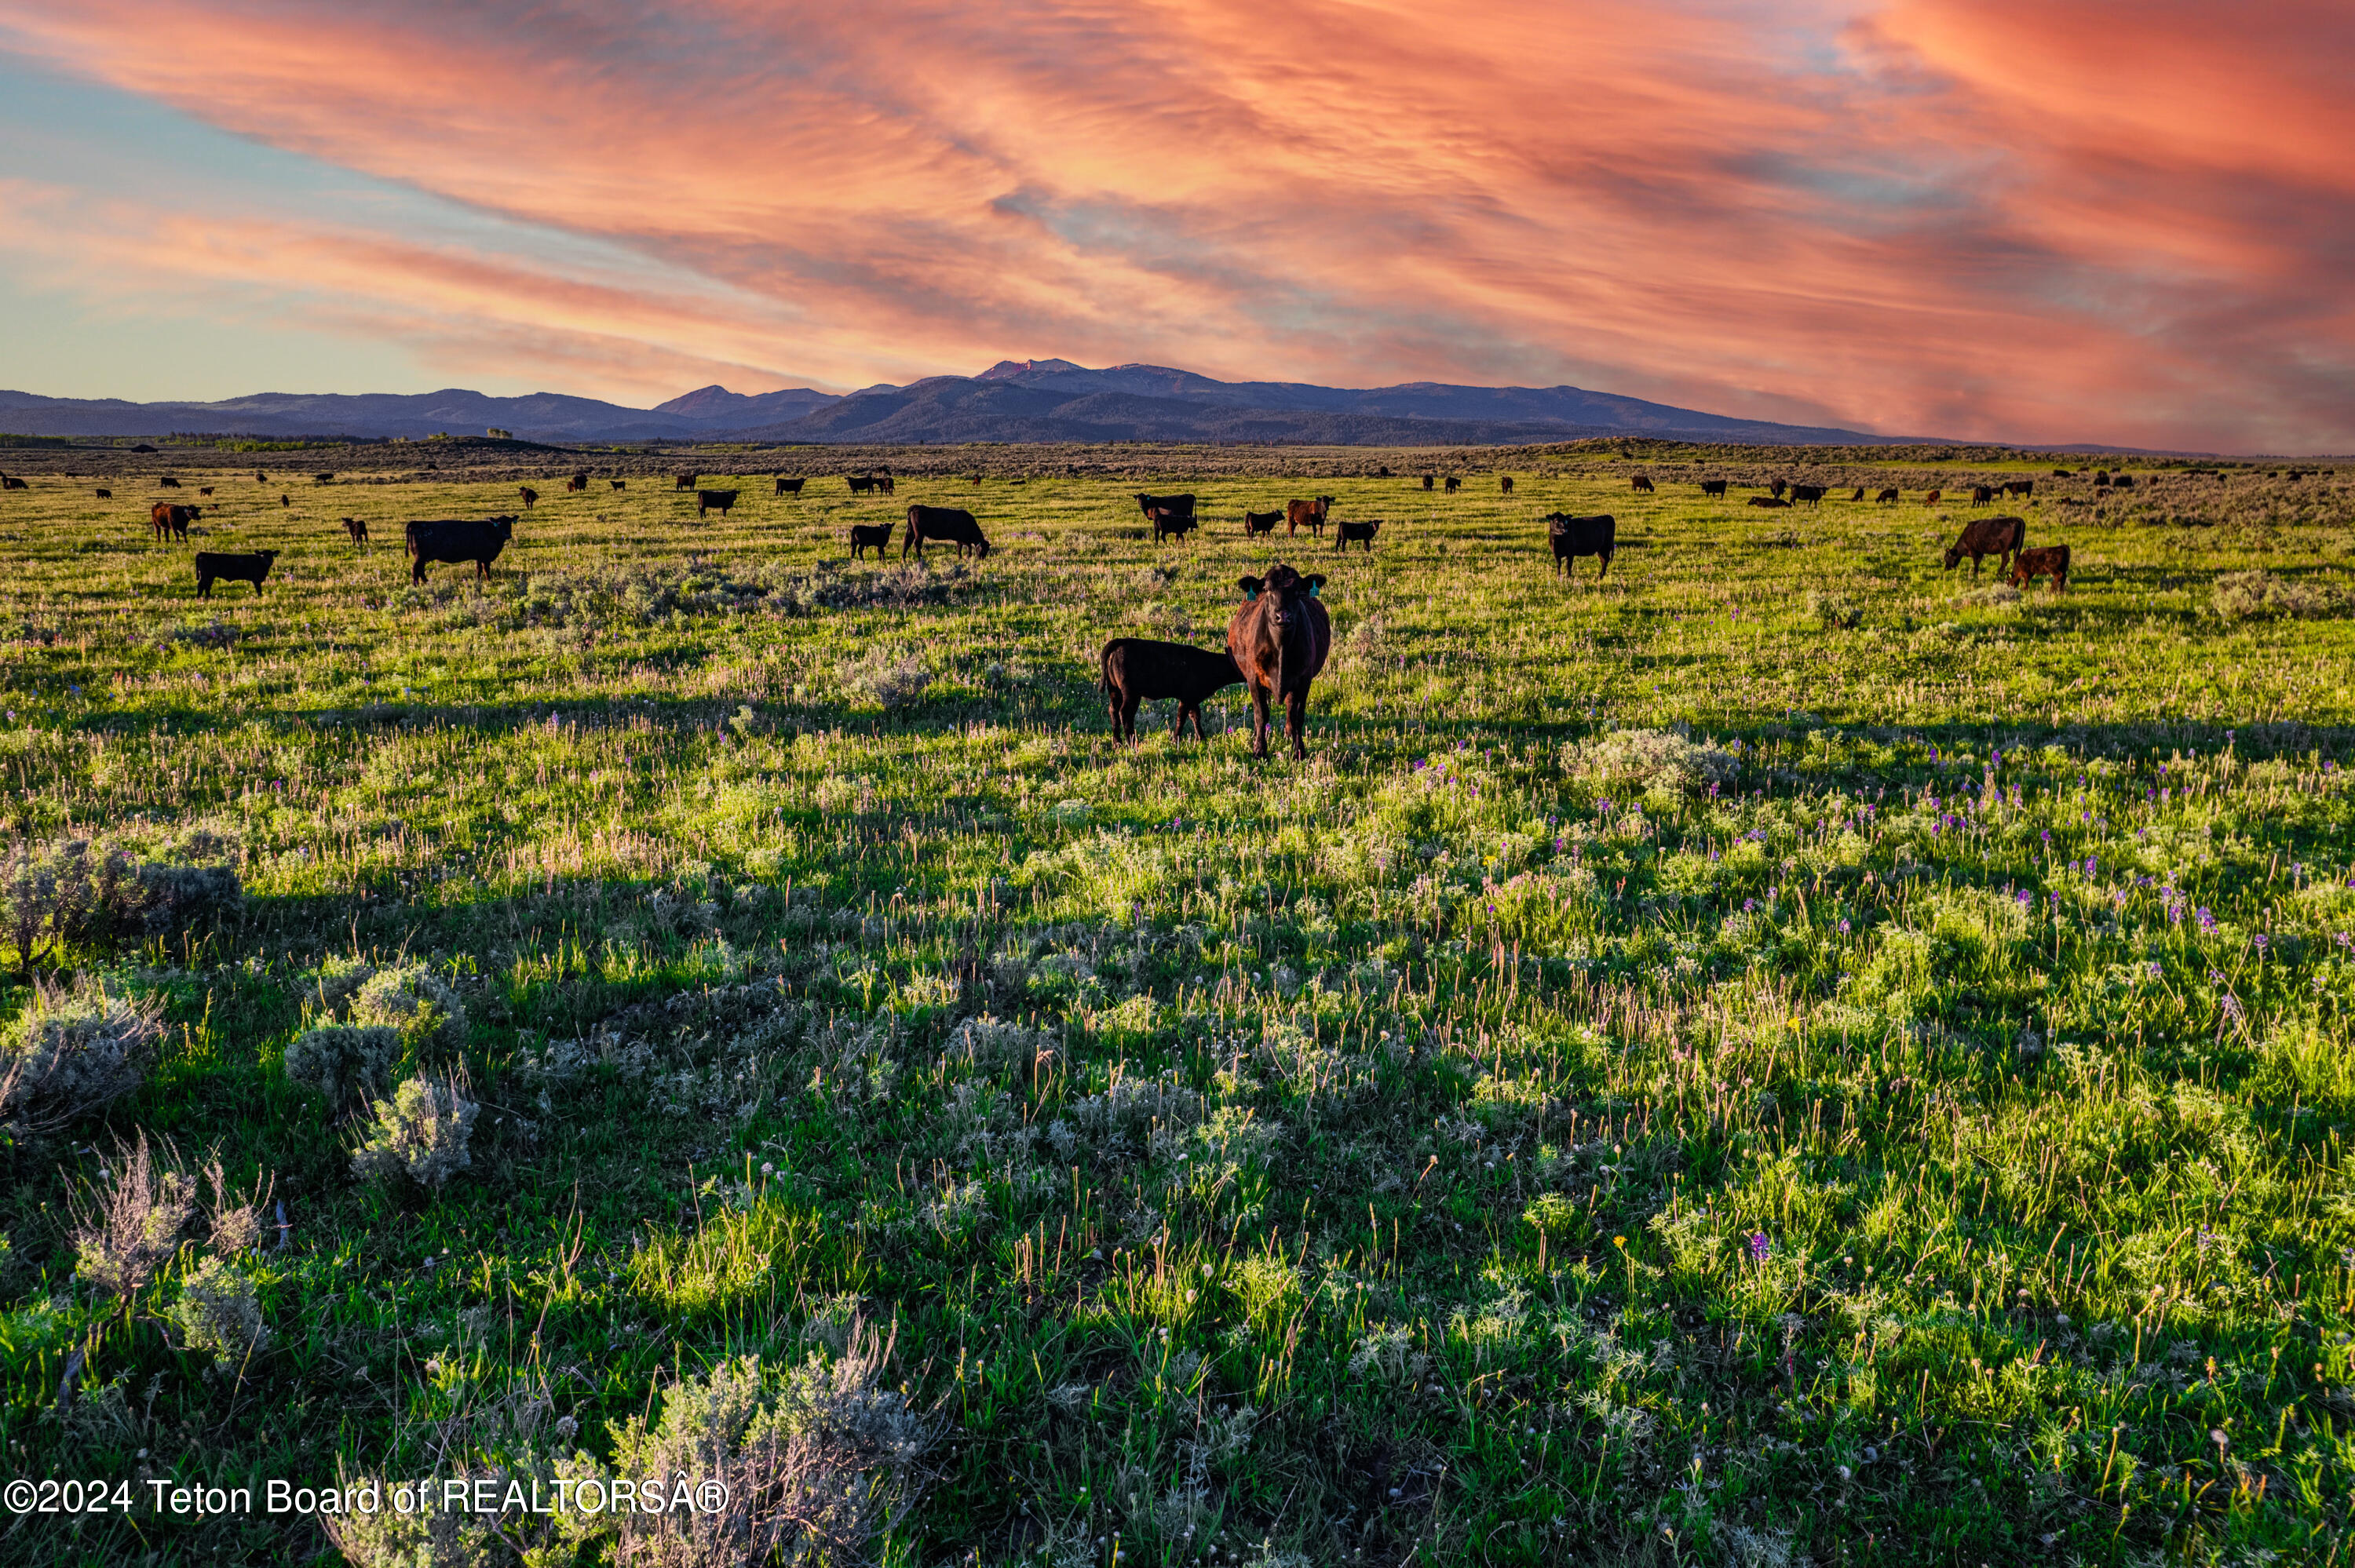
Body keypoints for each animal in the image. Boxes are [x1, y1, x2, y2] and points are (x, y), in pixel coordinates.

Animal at [405, 516, 517, 584]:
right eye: (499, 523)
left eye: (510, 523)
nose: (507, 534)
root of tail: (417, 523)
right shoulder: (486, 557)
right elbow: (486, 570)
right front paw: (489, 581)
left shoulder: (479, 557)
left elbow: (479, 569)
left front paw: (478, 581)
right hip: (420, 557)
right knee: (416, 570)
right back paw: (416, 585)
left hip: (422, 558)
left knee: (420, 570)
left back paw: (427, 582)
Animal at [1099, 638, 1242, 744]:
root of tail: (1120, 642)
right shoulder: (1187, 698)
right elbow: (1182, 718)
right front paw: (1175, 740)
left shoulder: (1192, 698)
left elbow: (1195, 717)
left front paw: (1202, 738)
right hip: (1131, 693)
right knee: (1125, 713)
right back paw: (1132, 743)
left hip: (1115, 690)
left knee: (1113, 711)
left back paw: (1117, 743)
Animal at [1225, 564, 1330, 759]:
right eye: (1267, 589)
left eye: (1297, 591)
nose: (1283, 616)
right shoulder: (1254, 679)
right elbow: (1261, 714)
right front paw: (1259, 750)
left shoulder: (1304, 680)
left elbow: (1297, 716)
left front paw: (1298, 751)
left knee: (1290, 708)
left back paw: (1289, 734)